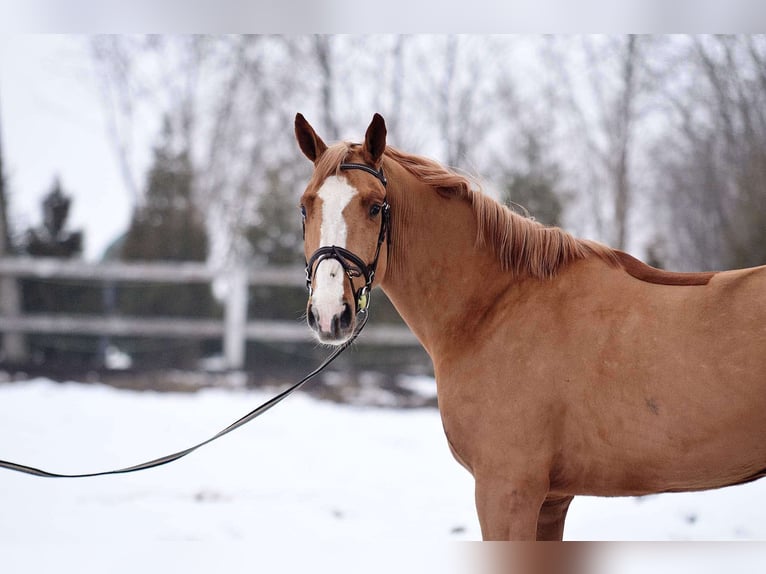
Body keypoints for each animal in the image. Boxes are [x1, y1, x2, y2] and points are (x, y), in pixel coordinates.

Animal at [294, 113, 766, 544]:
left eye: (374, 206)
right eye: (305, 205)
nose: (330, 314)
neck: (495, 306)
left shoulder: (506, 491)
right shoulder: (551, 501)